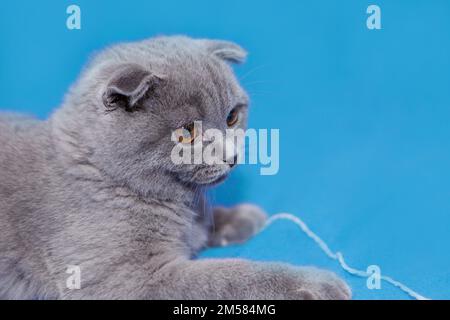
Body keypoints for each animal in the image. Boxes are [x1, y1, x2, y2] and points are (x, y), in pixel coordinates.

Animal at [0, 36, 352, 298]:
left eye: (232, 117)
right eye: (187, 132)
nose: (232, 156)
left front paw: (241, 216)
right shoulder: (128, 280)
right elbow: (226, 277)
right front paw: (315, 284)